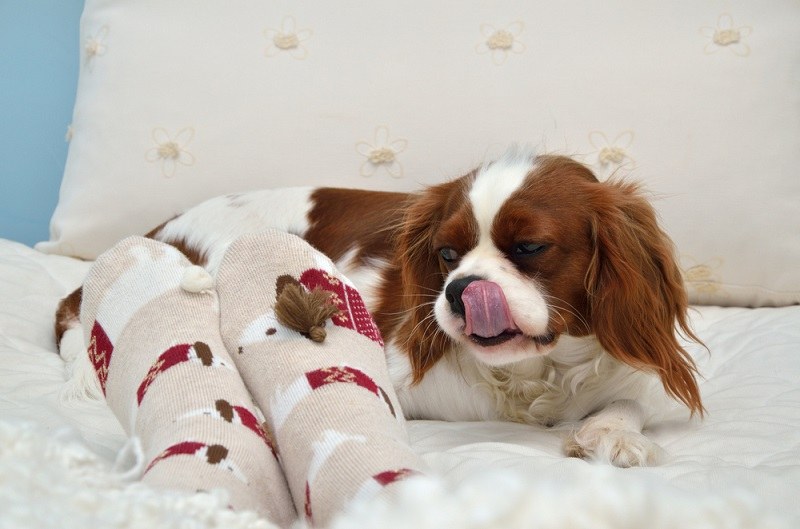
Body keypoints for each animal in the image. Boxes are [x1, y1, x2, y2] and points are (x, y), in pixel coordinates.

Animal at [56, 148, 700, 466]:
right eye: (446, 254)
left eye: (529, 248)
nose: (459, 289)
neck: (530, 375)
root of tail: (160, 228)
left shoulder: (623, 375)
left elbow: (629, 404)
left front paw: (611, 435)